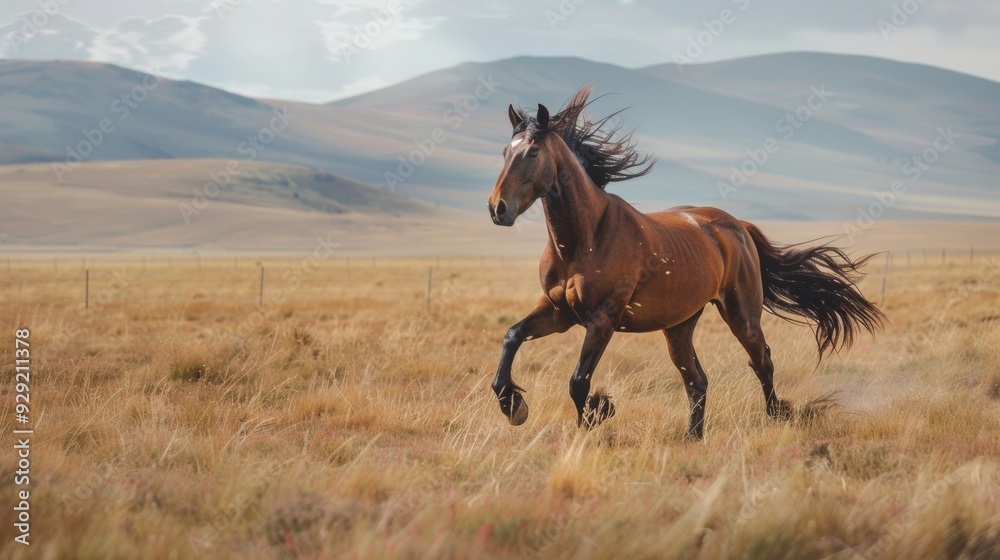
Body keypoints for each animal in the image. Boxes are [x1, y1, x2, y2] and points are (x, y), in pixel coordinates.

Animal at [486, 86, 884, 439]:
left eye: (532, 153)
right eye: (505, 151)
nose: (497, 209)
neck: (585, 239)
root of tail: (738, 225)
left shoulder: (602, 320)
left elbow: (578, 382)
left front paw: (594, 420)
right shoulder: (560, 312)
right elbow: (512, 337)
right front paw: (514, 406)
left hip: (741, 315)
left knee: (762, 360)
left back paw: (776, 415)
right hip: (679, 325)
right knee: (697, 380)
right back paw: (693, 436)